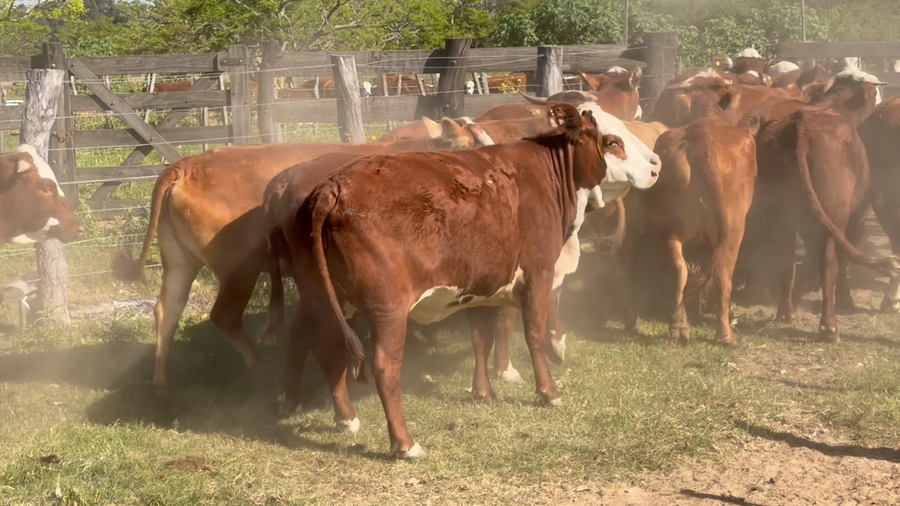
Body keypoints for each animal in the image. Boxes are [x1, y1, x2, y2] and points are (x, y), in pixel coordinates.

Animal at [111, 139, 441, 391]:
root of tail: (185, 167)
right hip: (239, 269)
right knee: (224, 315)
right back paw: (257, 364)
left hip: (179, 263)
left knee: (167, 310)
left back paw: (161, 380)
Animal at [280, 103, 658, 458]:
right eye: (612, 141)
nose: (656, 164)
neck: (542, 176)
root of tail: (332, 187)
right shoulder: (538, 274)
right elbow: (534, 336)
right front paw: (549, 393)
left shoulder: (479, 285)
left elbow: (481, 339)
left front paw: (484, 392)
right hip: (387, 308)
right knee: (385, 367)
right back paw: (405, 444)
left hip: (324, 301)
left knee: (327, 348)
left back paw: (347, 419)